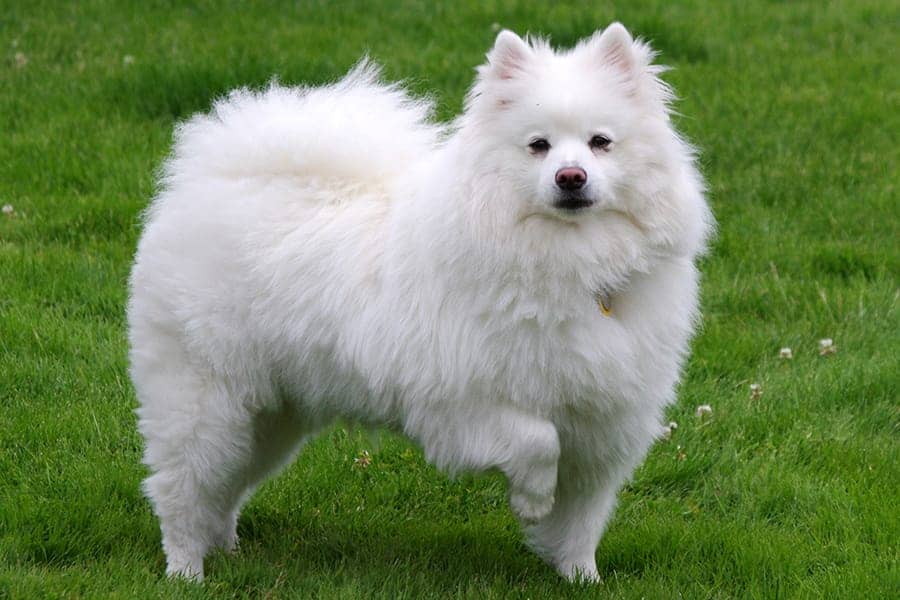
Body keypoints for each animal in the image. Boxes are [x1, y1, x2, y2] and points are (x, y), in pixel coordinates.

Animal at [130, 23, 712, 580]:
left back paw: (225, 547)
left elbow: (582, 519)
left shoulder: (602, 424)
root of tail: (206, 182)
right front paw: (531, 501)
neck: (571, 261)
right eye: (539, 146)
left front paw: (581, 577)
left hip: (271, 416)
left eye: (600, 142)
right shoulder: (462, 401)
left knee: (227, 488)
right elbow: (538, 442)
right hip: (205, 402)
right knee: (181, 490)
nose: (572, 176)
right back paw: (187, 570)